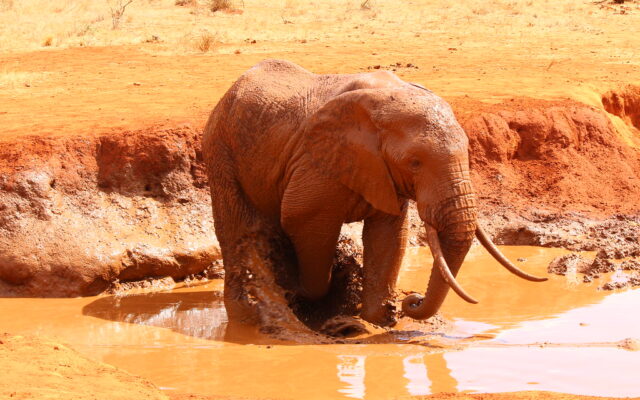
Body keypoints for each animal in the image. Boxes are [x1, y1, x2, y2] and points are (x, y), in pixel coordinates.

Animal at [202, 59, 546, 327]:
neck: (386, 101)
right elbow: (302, 219)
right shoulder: (315, 160)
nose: (412, 300)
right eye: (415, 163)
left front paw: (376, 320)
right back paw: (246, 310)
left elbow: (390, 234)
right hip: (220, 148)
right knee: (236, 226)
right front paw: (312, 295)